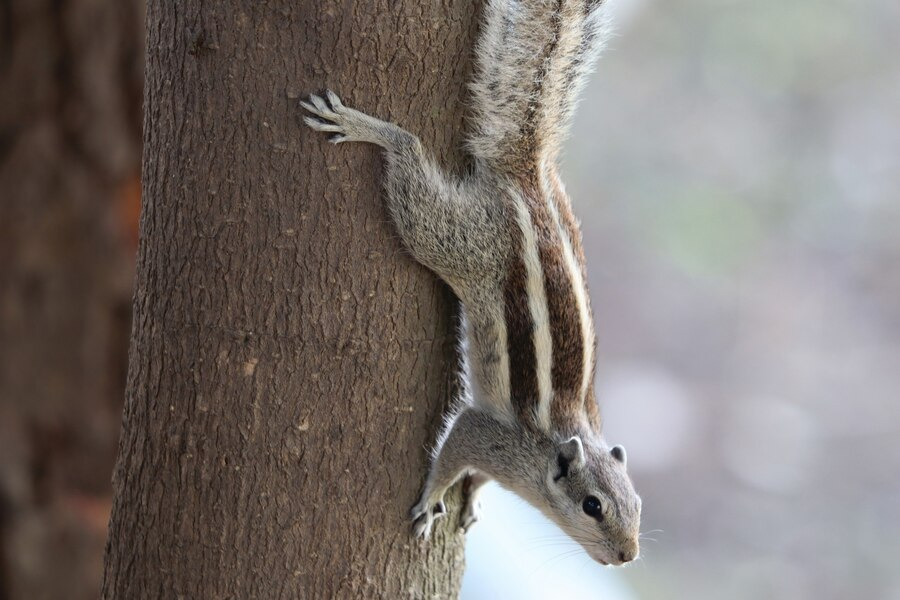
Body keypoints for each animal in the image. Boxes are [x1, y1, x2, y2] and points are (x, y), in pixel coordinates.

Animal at [302, 0, 640, 568]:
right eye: (592, 506)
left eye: (637, 503)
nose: (628, 555)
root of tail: (527, 176)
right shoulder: (484, 435)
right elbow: (452, 452)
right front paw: (432, 499)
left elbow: (477, 478)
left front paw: (475, 499)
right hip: (456, 240)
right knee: (410, 163)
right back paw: (369, 128)